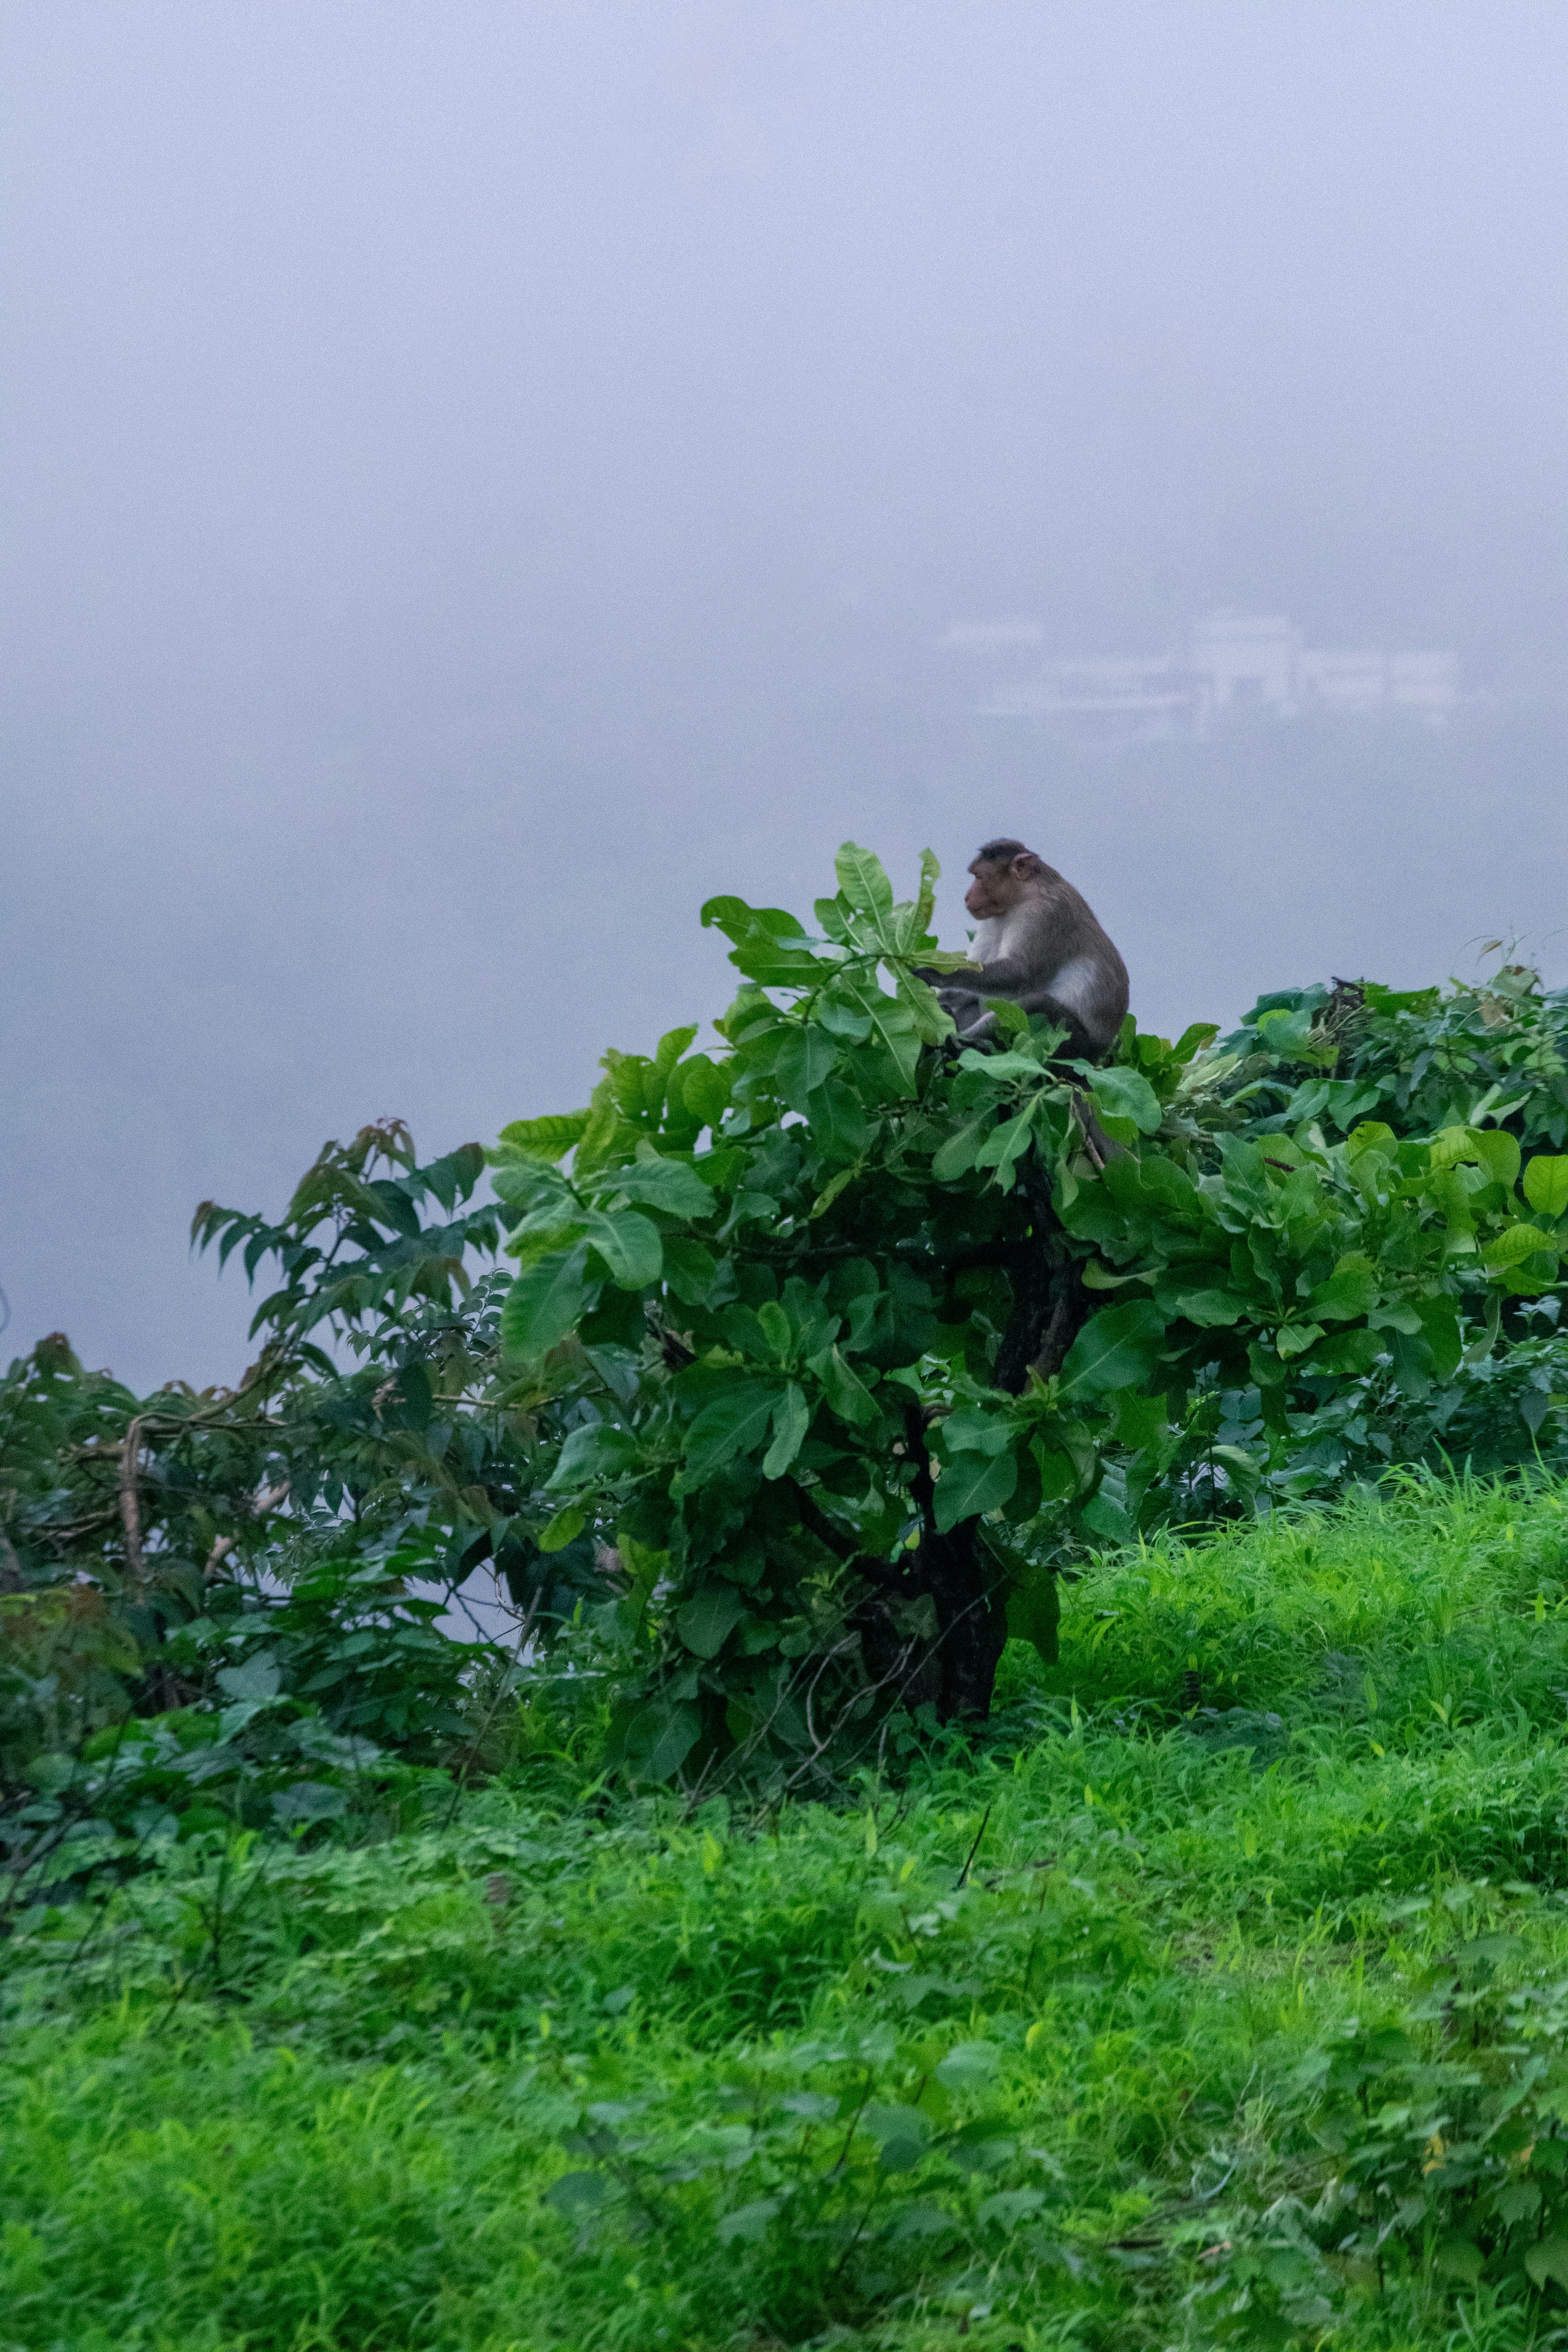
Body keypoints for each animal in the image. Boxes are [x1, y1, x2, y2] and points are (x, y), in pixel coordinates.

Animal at [931, 838, 1129, 1062]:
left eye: (979, 877)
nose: (966, 897)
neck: (1023, 897)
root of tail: (1099, 1054)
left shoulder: (1043, 914)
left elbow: (1020, 973)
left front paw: (936, 974)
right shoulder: (993, 918)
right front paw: (938, 997)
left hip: (1075, 1045)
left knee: (1036, 1004)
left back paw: (958, 1042)